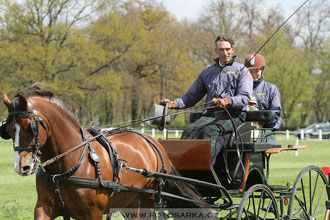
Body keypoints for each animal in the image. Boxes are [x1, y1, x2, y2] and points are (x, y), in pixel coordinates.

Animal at [1, 85, 205, 219]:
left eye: (29, 128)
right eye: (8, 130)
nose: (22, 167)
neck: (67, 167)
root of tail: (153, 142)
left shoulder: (93, 213)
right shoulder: (44, 208)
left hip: (148, 198)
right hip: (130, 202)